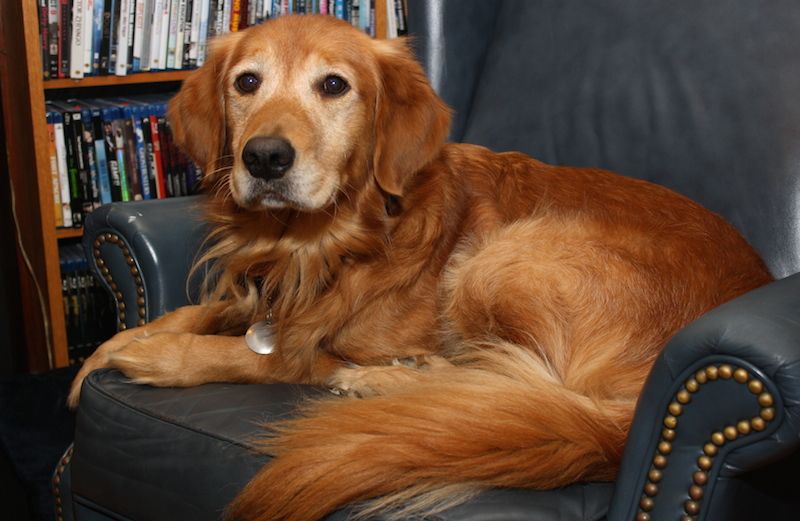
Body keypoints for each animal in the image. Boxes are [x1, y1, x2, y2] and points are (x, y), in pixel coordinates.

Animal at [70, 14, 776, 516]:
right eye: (247, 83)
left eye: (334, 85)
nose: (265, 157)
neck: (320, 245)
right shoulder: (258, 293)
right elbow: (195, 312)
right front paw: (107, 352)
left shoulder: (307, 347)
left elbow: (268, 356)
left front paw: (157, 357)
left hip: (504, 259)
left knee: (524, 387)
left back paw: (385, 380)